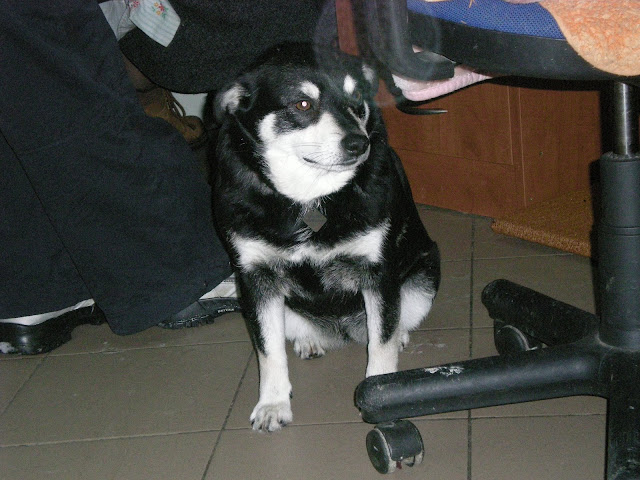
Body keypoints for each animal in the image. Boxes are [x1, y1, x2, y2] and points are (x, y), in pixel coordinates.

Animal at [211, 43, 440, 432]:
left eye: (357, 98)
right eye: (303, 104)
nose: (358, 144)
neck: (309, 197)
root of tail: (341, 331)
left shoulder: (378, 273)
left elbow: (382, 343)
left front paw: (384, 396)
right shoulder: (256, 278)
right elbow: (269, 352)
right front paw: (272, 404)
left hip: (424, 276)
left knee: (394, 323)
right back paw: (308, 340)